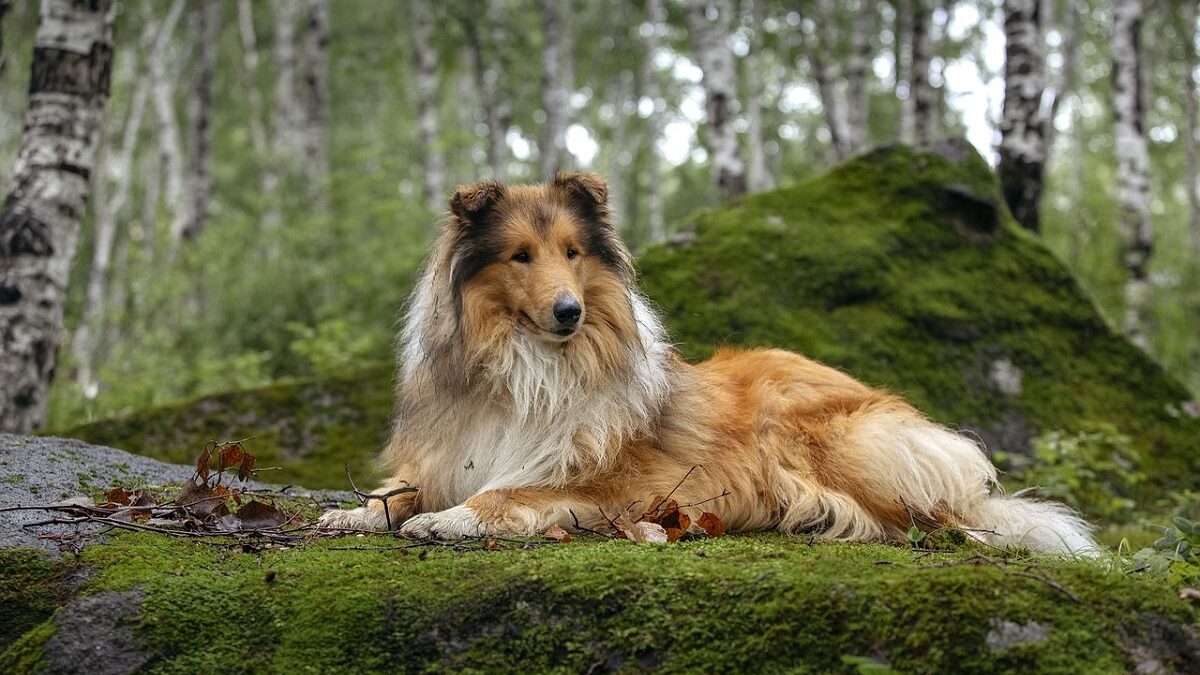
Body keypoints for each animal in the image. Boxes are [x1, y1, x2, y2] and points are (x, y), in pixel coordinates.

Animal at [319, 169, 1099, 552]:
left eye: (572, 252)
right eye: (521, 256)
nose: (570, 312)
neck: (529, 365)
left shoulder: (615, 483)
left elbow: (504, 494)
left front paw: (445, 521)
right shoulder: (452, 454)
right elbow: (398, 490)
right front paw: (355, 513)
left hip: (830, 440)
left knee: (945, 520)